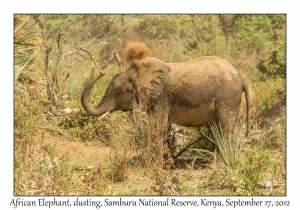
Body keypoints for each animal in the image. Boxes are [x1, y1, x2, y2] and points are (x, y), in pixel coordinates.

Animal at [81, 41, 250, 167]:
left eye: (119, 91)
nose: (101, 72)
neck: (139, 72)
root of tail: (241, 76)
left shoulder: (161, 97)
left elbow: (157, 128)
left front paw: (155, 166)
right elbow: (164, 128)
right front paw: (167, 164)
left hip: (227, 96)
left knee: (227, 127)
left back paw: (224, 163)